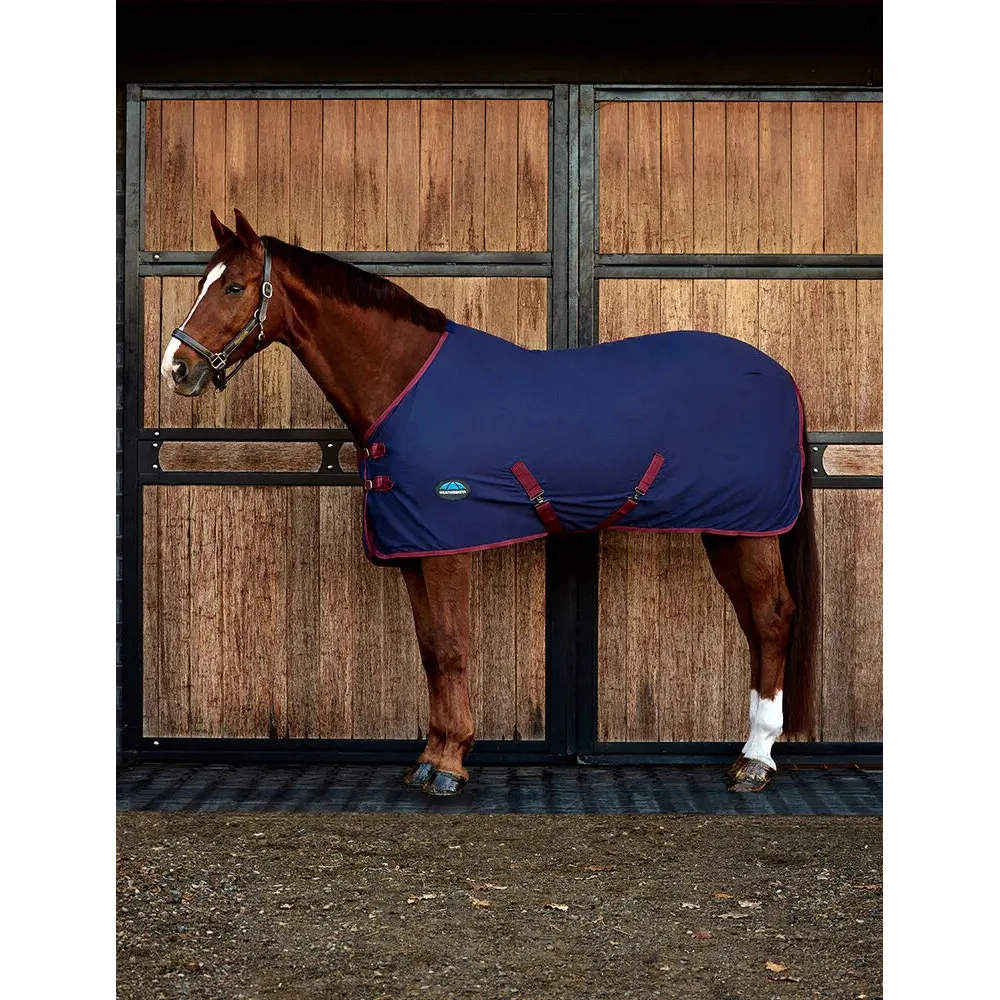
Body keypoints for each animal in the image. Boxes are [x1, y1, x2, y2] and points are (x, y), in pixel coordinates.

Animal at [160, 208, 819, 796]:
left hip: (753, 529)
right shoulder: (413, 548)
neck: (404, 382)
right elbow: (431, 650)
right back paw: (749, 749)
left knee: (772, 617)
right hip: (727, 530)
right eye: (203, 281)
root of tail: (783, 376)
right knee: (754, 623)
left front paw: (450, 765)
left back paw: (757, 758)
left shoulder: (445, 543)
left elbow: (452, 646)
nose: (177, 367)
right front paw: (431, 757)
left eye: (236, 286)